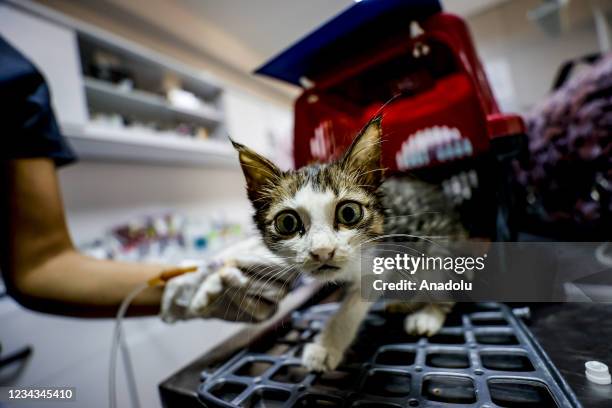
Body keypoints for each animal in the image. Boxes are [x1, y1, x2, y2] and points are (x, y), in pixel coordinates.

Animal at [233, 116, 464, 372]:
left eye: (349, 213)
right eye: (287, 222)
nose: (322, 251)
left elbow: (354, 303)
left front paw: (326, 347)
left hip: (442, 247)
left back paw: (428, 315)